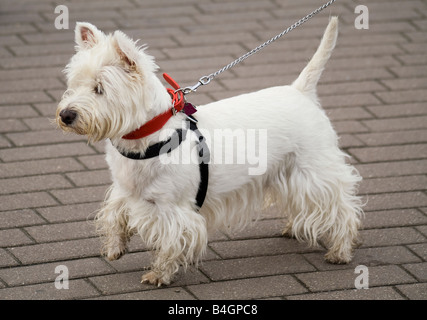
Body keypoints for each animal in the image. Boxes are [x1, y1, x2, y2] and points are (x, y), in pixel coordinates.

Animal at [56, 17, 364, 286]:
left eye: (99, 89)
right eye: (73, 85)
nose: (65, 115)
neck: (144, 139)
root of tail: (300, 91)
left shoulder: (173, 209)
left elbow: (170, 241)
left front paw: (159, 274)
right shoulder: (125, 190)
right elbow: (115, 214)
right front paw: (115, 247)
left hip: (314, 169)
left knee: (341, 207)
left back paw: (340, 252)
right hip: (289, 170)